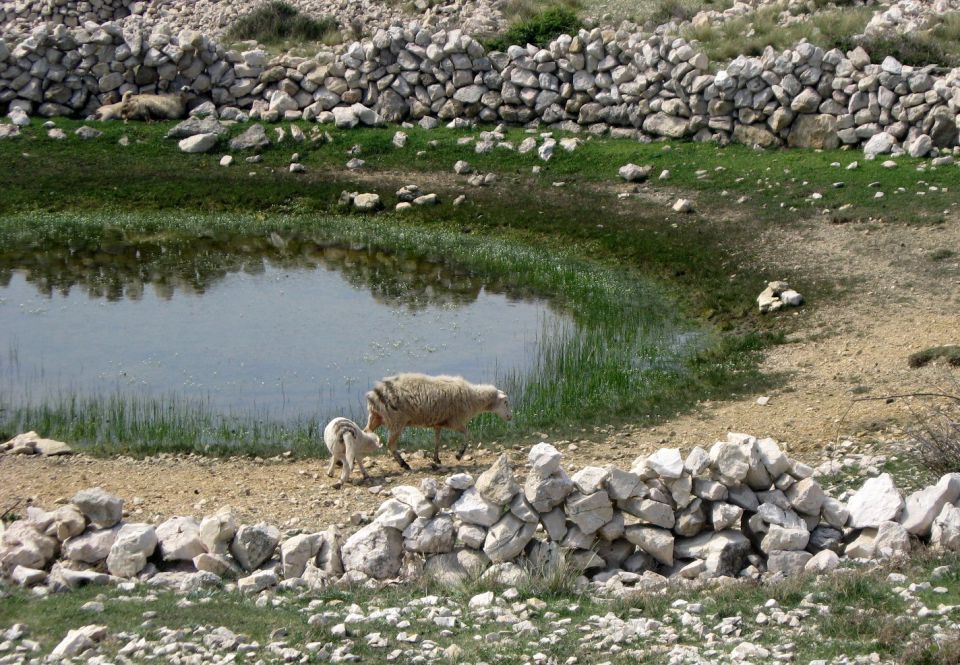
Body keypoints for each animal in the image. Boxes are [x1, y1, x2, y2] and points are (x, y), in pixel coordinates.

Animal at [362, 370, 510, 470]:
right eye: (506, 402)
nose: (510, 417)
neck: (474, 398)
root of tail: (374, 394)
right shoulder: (455, 421)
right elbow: (468, 435)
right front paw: (459, 454)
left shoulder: (438, 423)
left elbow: (437, 440)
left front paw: (437, 458)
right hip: (396, 421)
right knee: (390, 444)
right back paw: (404, 464)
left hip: (376, 417)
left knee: (366, 432)